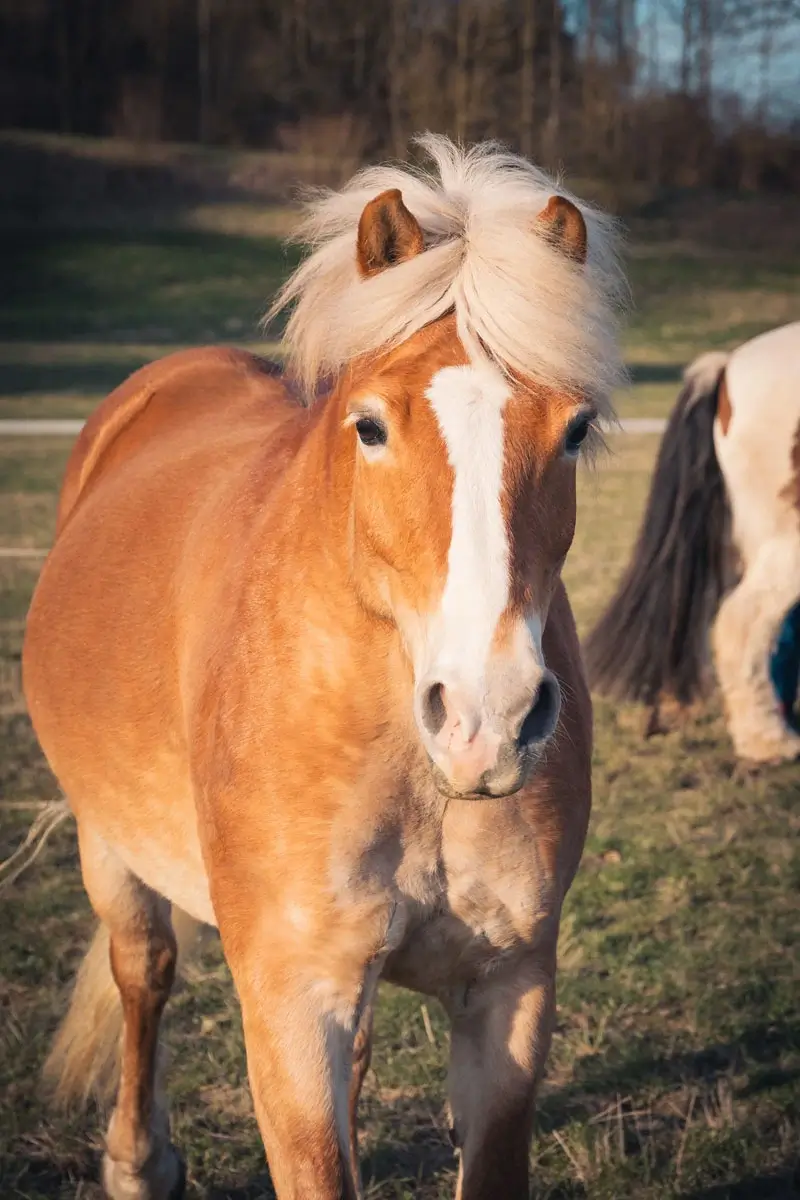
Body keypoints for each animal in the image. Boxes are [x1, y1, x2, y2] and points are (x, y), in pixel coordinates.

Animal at [22, 134, 626, 1200]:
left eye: (575, 429)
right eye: (371, 426)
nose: (489, 720)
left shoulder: (508, 994)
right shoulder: (293, 1005)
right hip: (110, 847)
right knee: (144, 969)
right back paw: (139, 1161)